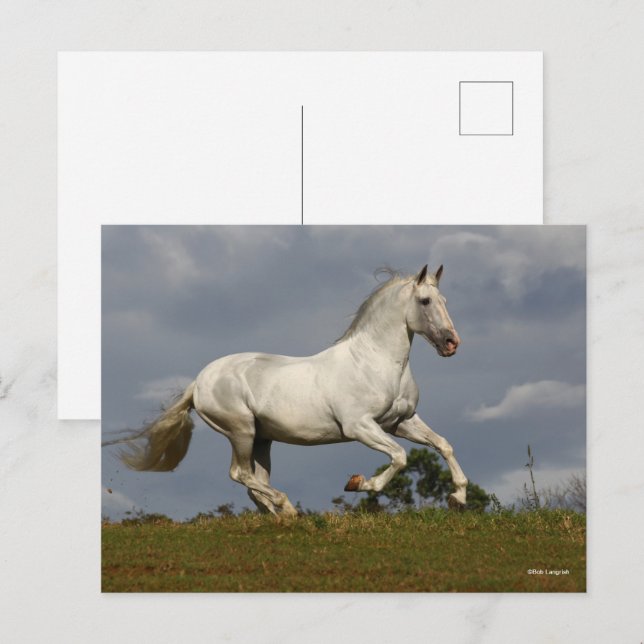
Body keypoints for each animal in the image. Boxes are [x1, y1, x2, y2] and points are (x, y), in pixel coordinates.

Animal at [114, 264, 469, 517]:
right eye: (425, 301)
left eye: (445, 301)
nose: (451, 343)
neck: (374, 362)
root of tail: (200, 381)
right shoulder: (359, 427)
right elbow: (398, 456)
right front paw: (359, 483)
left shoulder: (400, 422)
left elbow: (443, 445)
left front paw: (458, 497)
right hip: (241, 431)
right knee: (240, 474)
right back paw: (286, 507)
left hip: (262, 439)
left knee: (255, 483)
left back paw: (279, 514)